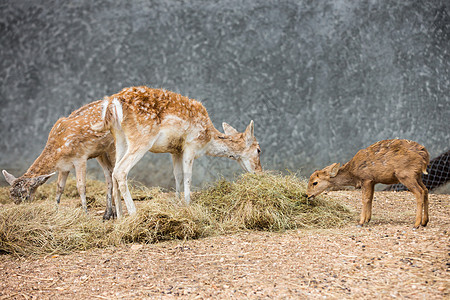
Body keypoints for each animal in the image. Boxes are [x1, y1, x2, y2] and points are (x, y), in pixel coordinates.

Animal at [94, 85, 264, 217]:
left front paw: (177, 202)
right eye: (258, 150)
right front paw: (188, 204)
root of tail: (112, 103)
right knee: (121, 170)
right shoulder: (191, 144)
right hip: (142, 137)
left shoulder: (175, 150)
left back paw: (119, 217)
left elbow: (178, 175)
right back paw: (134, 214)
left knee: (113, 171)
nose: (260, 172)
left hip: (120, 138)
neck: (208, 139)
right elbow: (188, 175)